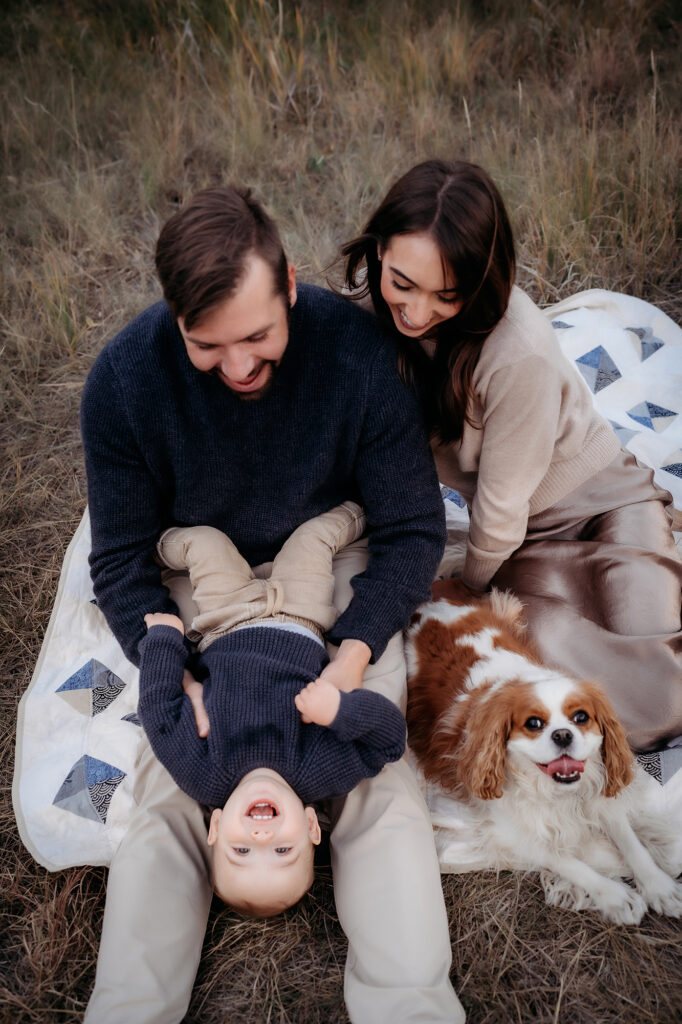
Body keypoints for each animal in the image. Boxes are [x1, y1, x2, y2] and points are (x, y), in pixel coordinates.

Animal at [403, 581, 679, 925]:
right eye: (533, 724)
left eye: (581, 717)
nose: (563, 735)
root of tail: (433, 595)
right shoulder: (511, 830)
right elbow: (567, 860)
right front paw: (616, 896)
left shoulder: (599, 793)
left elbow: (630, 840)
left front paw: (659, 886)